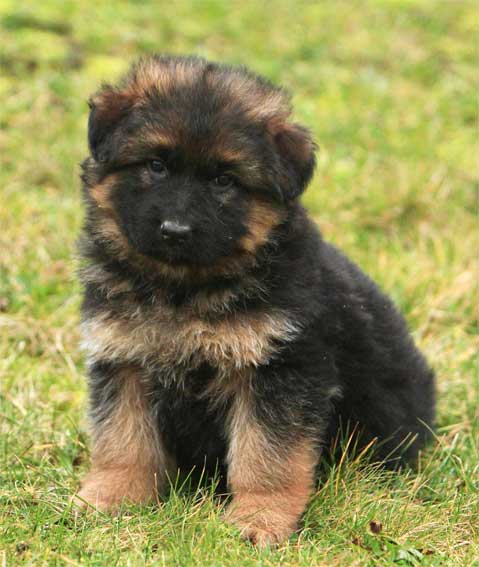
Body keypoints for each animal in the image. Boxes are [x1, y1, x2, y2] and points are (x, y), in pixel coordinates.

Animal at [76, 55, 435, 546]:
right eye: (155, 165)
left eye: (225, 180)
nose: (175, 231)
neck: (185, 289)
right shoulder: (123, 357)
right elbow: (122, 439)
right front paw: (111, 496)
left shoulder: (278, 369)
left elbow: (266, 457)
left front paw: (259, 519)